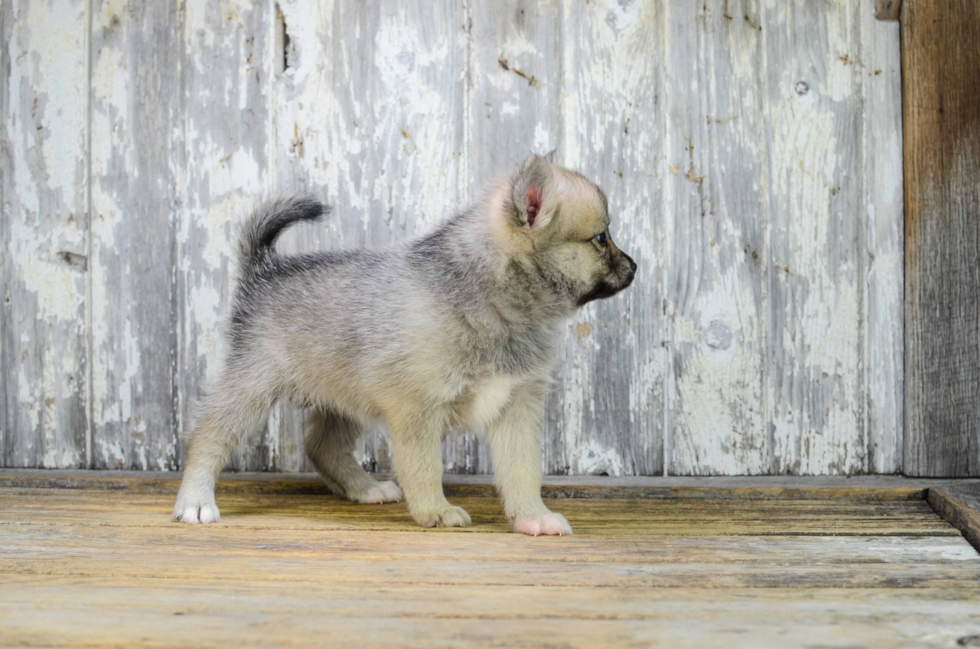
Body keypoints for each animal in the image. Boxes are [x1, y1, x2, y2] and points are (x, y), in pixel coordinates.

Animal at [173, 154, 640, 536]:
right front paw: (435, 511)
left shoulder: (518, 406)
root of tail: (264, 270)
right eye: (601, 238)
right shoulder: (417, 410)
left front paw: (532, 518)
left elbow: (522, 471)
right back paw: (195, 502)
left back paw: (364, 489)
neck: (497, 298)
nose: (636, 266)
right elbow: (424, 467)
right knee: (207, 436)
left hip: (344, 399)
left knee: (322, 447)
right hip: (251, 387)